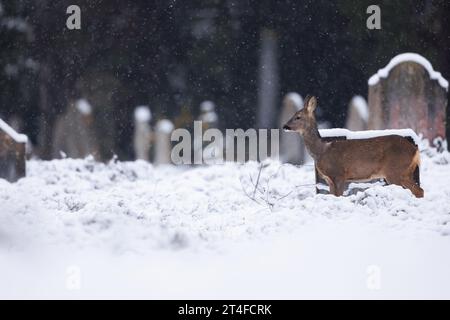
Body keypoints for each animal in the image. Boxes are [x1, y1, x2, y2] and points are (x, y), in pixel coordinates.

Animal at [284, 95, 424, 198]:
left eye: (298, 117)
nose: (285, 126)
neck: (321, 150)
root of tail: (415, 149)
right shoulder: (329, 179)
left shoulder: (339, 174)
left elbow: (339, 196)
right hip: (405, 172)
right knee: (419, 190)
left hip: (394, 170)